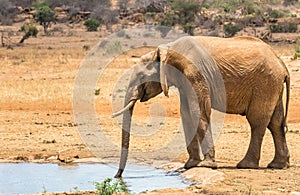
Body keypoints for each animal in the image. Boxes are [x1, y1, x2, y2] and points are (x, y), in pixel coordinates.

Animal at [112, 35, 288, 177]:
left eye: (142, 77)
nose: (117, 176)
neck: (167, 50)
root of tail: (280, 62)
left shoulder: (196, 73)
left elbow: (199, 112)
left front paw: (206, 165)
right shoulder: (184, 80)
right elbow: (186, 114)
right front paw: (191, 164)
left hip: (264, 84)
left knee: (257, 122)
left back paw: (245, 165)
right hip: (272, 84)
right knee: (276, 123)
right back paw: (278, 165)